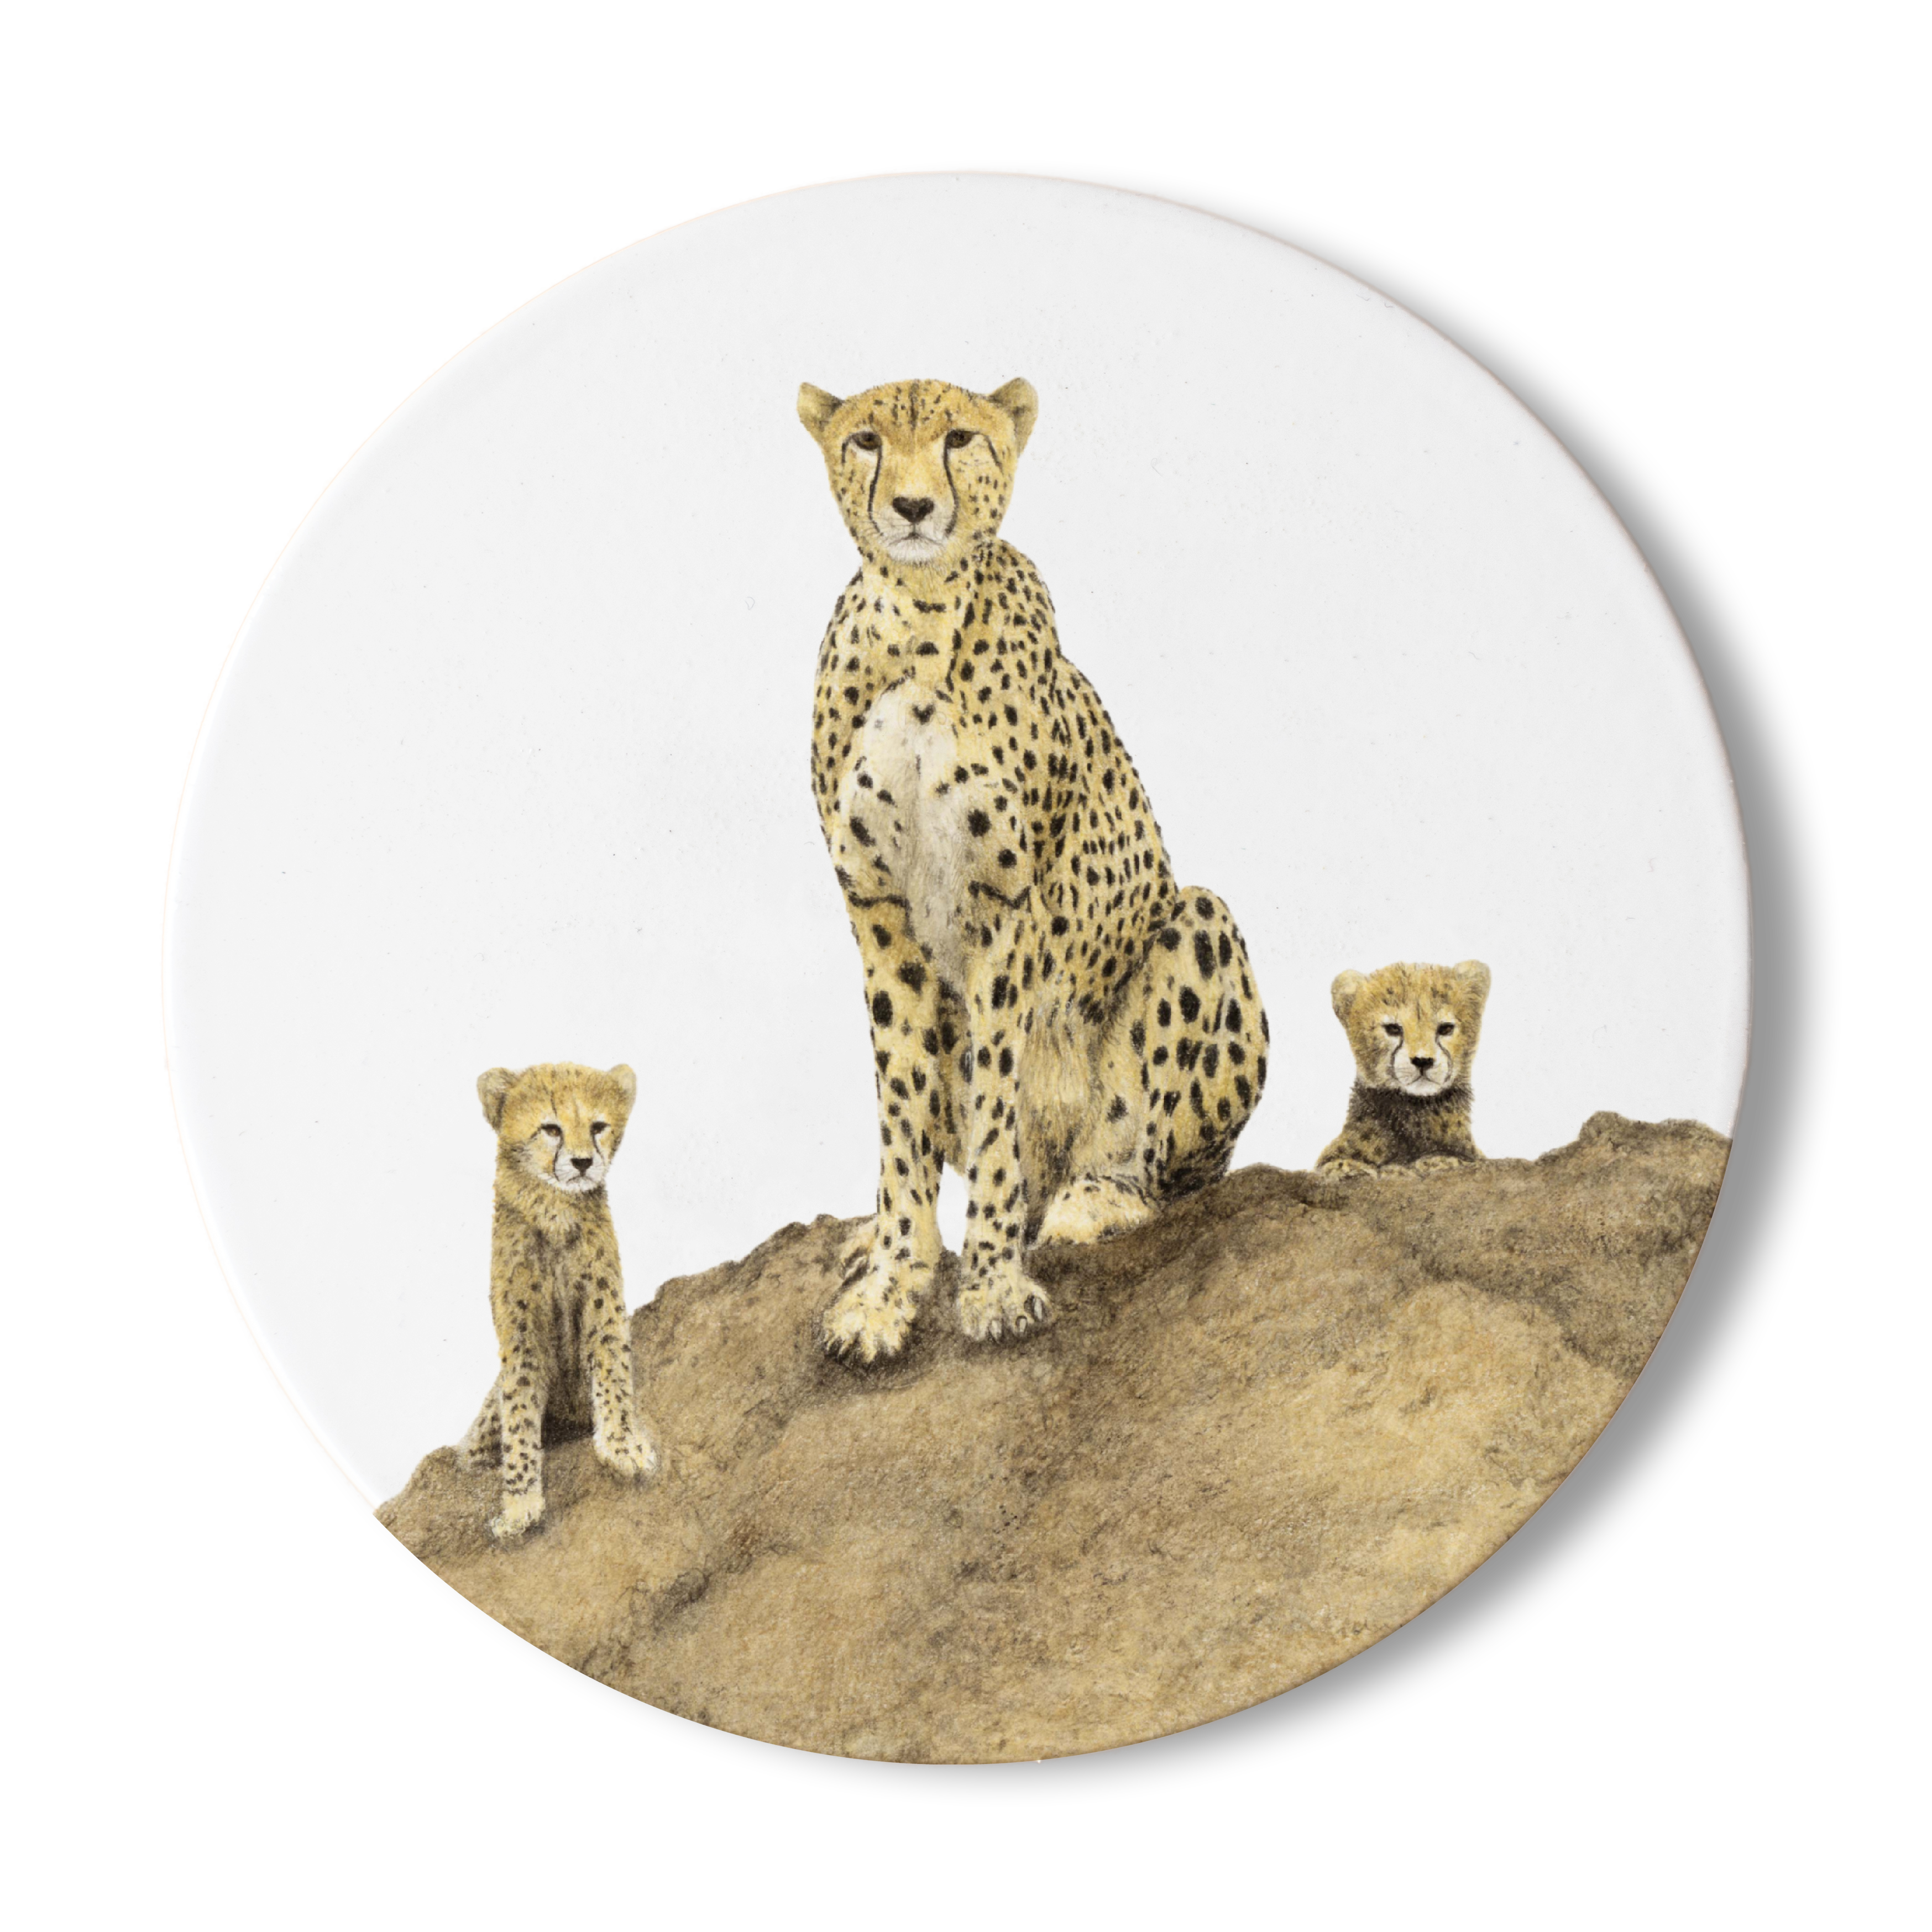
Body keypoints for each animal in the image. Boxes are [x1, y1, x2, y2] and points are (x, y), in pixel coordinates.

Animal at [457, 1061, 657, 1539]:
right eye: (551, 1128)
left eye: (598, 1126)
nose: (583, 1161)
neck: (555, 1209)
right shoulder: (522, 1331)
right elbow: (520, 1408)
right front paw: (520, 1502)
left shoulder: (604, 1303)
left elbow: (612, 1370)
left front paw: (623, 1445)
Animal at [798, 376, 1270, 1364]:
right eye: (864, 439)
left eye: (958, 437)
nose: (911, 507)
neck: (918, 615)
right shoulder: (876, 906)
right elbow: (902, 1099)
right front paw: (891, 1282)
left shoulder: (1004, 902)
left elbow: (995, 1102)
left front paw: (991, 1282)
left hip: (1199, 923)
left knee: (1148, 1163)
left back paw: (1090, 1198)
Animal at [1316, 960, 1491, 1178]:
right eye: (1393, 1029)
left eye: (1446, 1028)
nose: (1423, 1060)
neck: (1414, 1111)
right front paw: (1346, 1168)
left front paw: (1439, 1161)